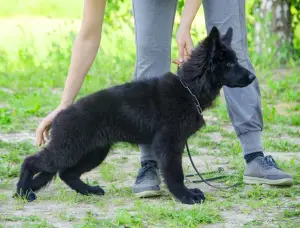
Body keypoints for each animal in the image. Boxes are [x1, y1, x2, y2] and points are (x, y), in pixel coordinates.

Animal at [15, 26, 255, 205]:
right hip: (68, 150)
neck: (190, 88)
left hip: (94, 152)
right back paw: (22, 192)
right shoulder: (169, 144)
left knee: (66, 173)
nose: (253, 77)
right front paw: (185, 196)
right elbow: (175, 173)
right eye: (229, 63)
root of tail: (59, 117)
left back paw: (88, 190)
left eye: (235, 60)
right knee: (32, 162)